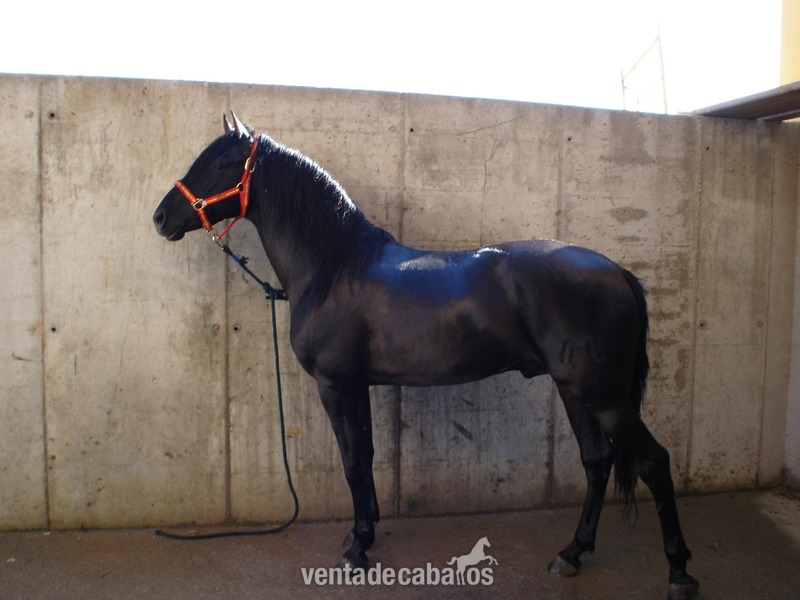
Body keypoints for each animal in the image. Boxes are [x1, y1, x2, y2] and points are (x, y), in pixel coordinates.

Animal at [152, 113, 699, 600]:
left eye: (219, 162)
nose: (160, 218)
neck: (336, 269)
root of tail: (617, 271)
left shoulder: (336, 384)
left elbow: (353, 461)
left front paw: (356, 551)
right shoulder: (357, 385)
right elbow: (366, 456)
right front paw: (364, 533)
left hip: (603, 395)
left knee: (653, 461)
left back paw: (679, 573)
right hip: (574, 389)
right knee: (597, 461)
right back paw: (571, 554)